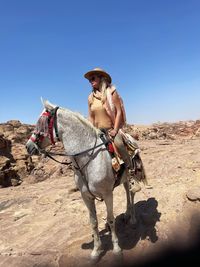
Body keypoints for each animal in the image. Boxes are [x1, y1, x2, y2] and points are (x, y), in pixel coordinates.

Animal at [25, 100, 141, 262]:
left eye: (41, 122)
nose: (28, 146)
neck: (88, 160)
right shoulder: (86, 196)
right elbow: (93, 222)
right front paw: (96, 251)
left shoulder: (107, 194)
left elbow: (111, 219)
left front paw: (117, 249)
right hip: (123, 180)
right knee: (126, 193)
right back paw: (126, 214)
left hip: (130, 176)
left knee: (132, 193)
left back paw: (133, 219)